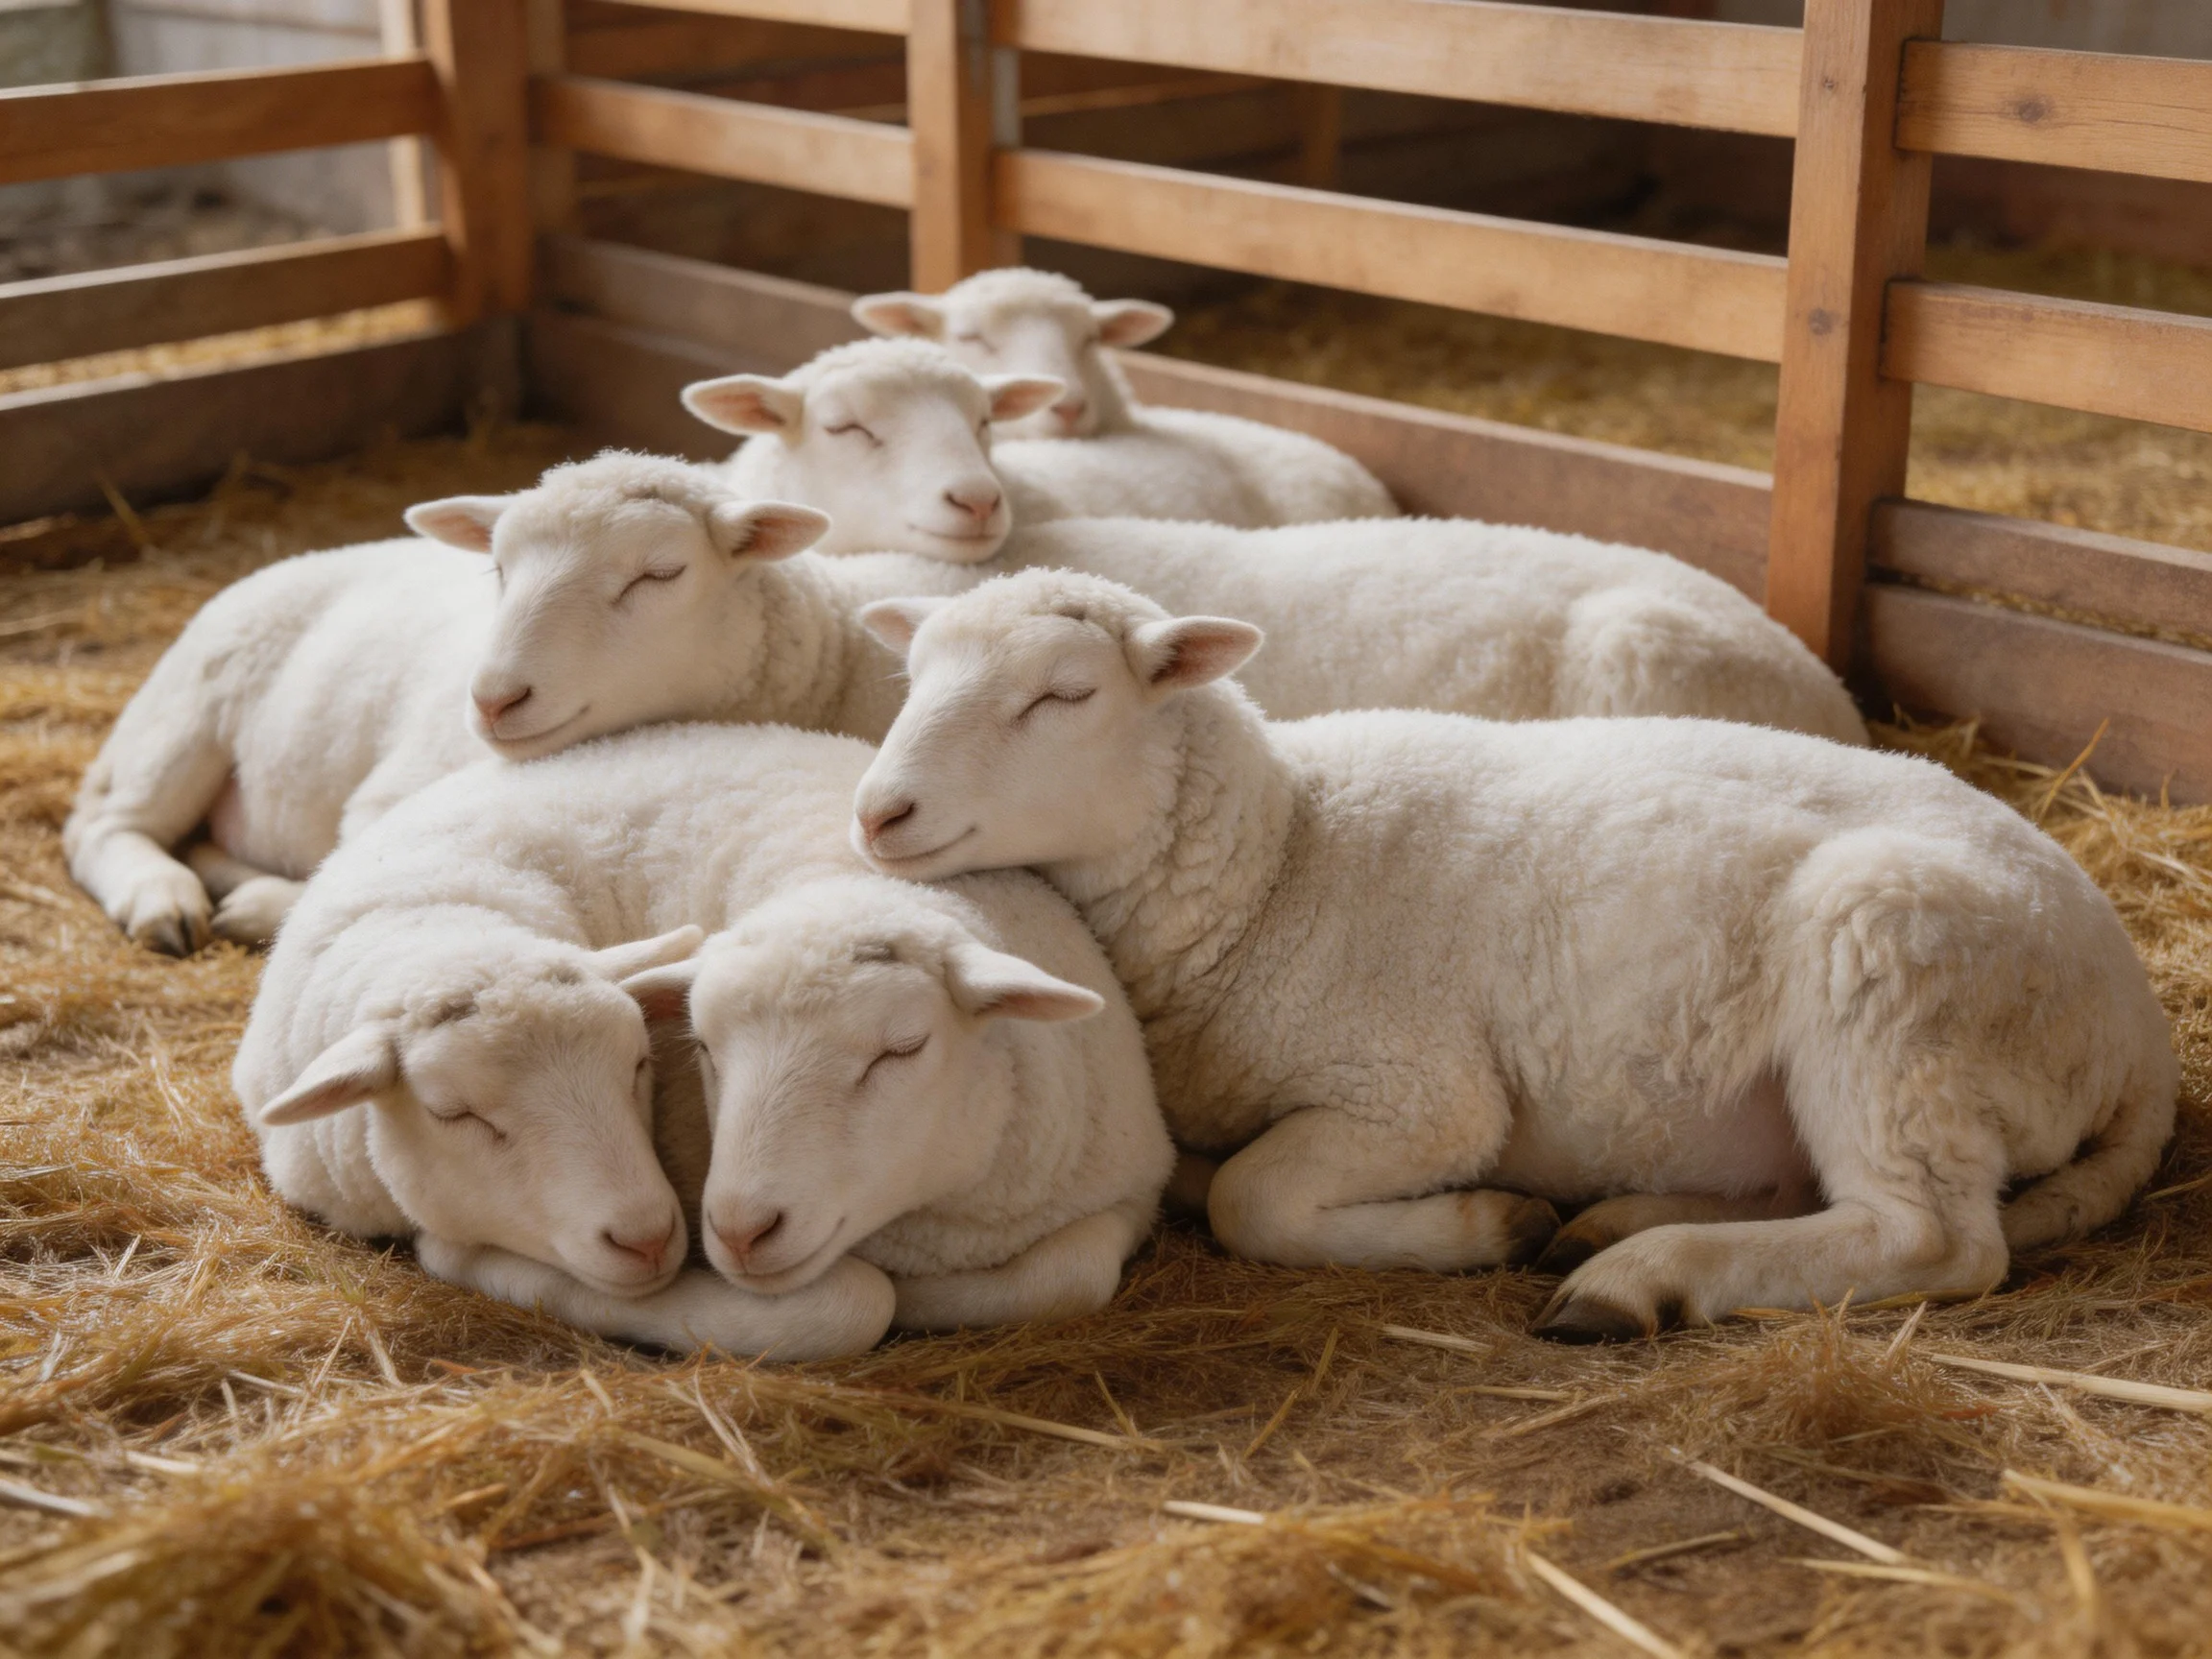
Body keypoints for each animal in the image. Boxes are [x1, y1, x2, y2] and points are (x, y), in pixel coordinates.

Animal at [64, 451, 870, 953]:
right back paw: (164, 899)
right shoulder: (387, 798)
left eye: (660, 573)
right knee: (103, 827)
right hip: (184, 718)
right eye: (498, 568)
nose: (491, 699)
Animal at [253, 717, 1166, 1349]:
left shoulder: (1132, 1187)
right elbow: (853, 1303)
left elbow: (1075, 1273)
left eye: (902, 1047)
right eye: (703, 1050)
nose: (740, 1230)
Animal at [847, 570, 2177, 1338]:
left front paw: (1480, 1226)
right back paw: (1614, 1224)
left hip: (1894, 983)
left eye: (1064, 695)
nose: (880, 812)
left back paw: (1635, 1278)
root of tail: (2139, 1025)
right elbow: (1204, 1176)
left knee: (1930, 1238)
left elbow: (1248, 1198)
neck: (1280, 862)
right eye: (910, 675)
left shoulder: (1416, 1094)